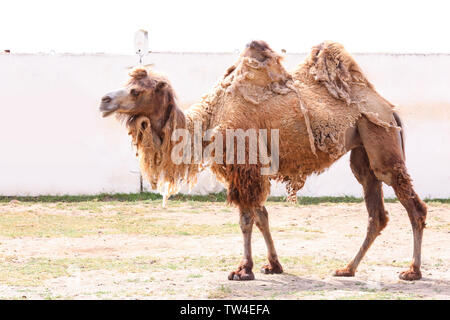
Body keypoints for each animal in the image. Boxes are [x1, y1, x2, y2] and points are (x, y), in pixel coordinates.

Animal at [100, 41, 428, 282]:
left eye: (135, 90)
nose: (104, 100)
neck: (209, 121)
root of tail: (389, 108)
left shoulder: (244, 165)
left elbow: (246, 219)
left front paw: (243, 270)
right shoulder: (250, 169)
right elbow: (261, 216)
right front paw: (273, 265)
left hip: (379, 137)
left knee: (412, 204)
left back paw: (412, 271)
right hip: (362, 150)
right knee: (376, 212)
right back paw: (347, 268)